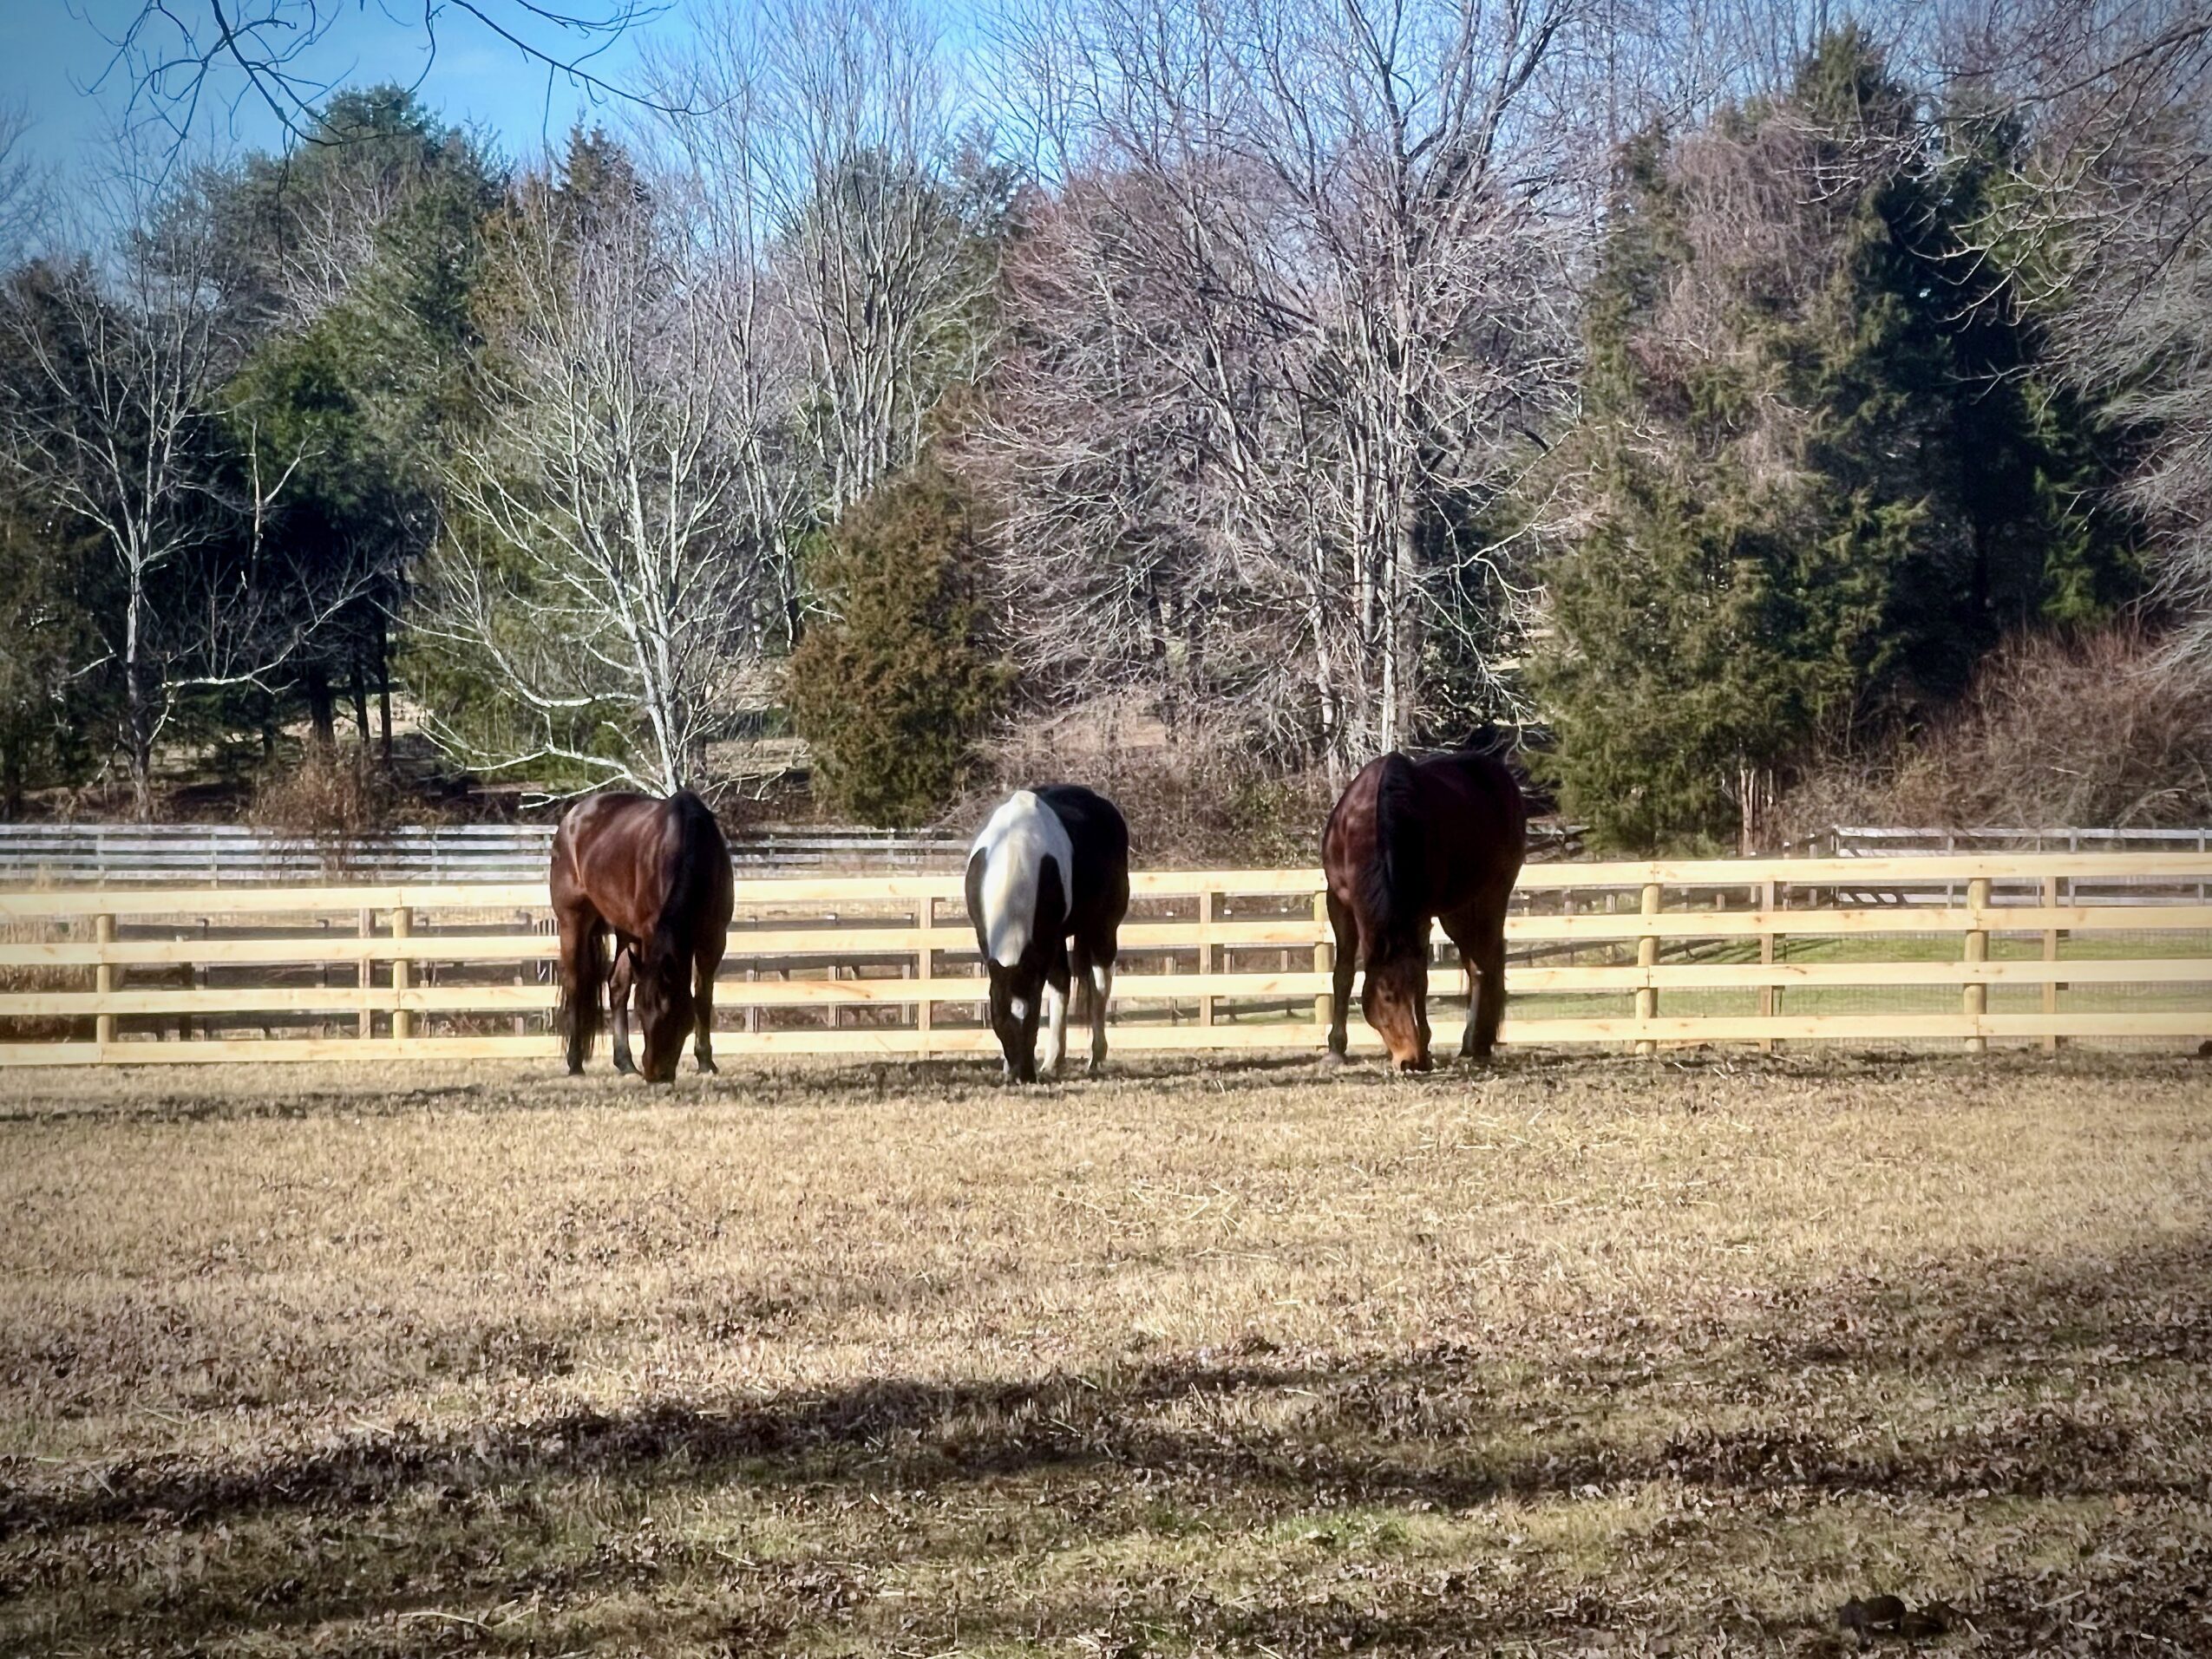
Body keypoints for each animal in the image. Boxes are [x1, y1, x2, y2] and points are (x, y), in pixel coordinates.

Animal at [550, 790, 735, 1083]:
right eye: (642, 1012)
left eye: (672, 1014)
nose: (655, 1074)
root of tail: (573, 817)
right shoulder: (650, 934)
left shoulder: (713, 940)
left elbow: (703, 997)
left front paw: (706, 1062)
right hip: (573, 922)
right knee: (575, 984)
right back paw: (575, 1063)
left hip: (626, 932)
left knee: (617, 984)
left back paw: (625, 1063)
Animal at [965, 784, 1131, 1082]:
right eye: (1001, 1021)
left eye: (1032, 1022)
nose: (1023, 1076)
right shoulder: (986, 940)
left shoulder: (1044, 943)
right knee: (1064, 983)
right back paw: (1055, 1059)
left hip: (1102, 929)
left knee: (1100, 986)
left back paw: (1092, 1057)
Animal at [1321, 748, 1526, 1072]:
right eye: (1387, 996)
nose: (1410, 1059)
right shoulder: (1338, 903)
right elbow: (1343, 975)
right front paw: (1335, 1050)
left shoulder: (1419, 914)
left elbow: (1422, 975)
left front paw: (1427, 1046)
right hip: (1458, 911)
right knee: (1477, 964)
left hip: (1490, 898)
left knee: (1486, 965)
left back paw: (1475, 1045)